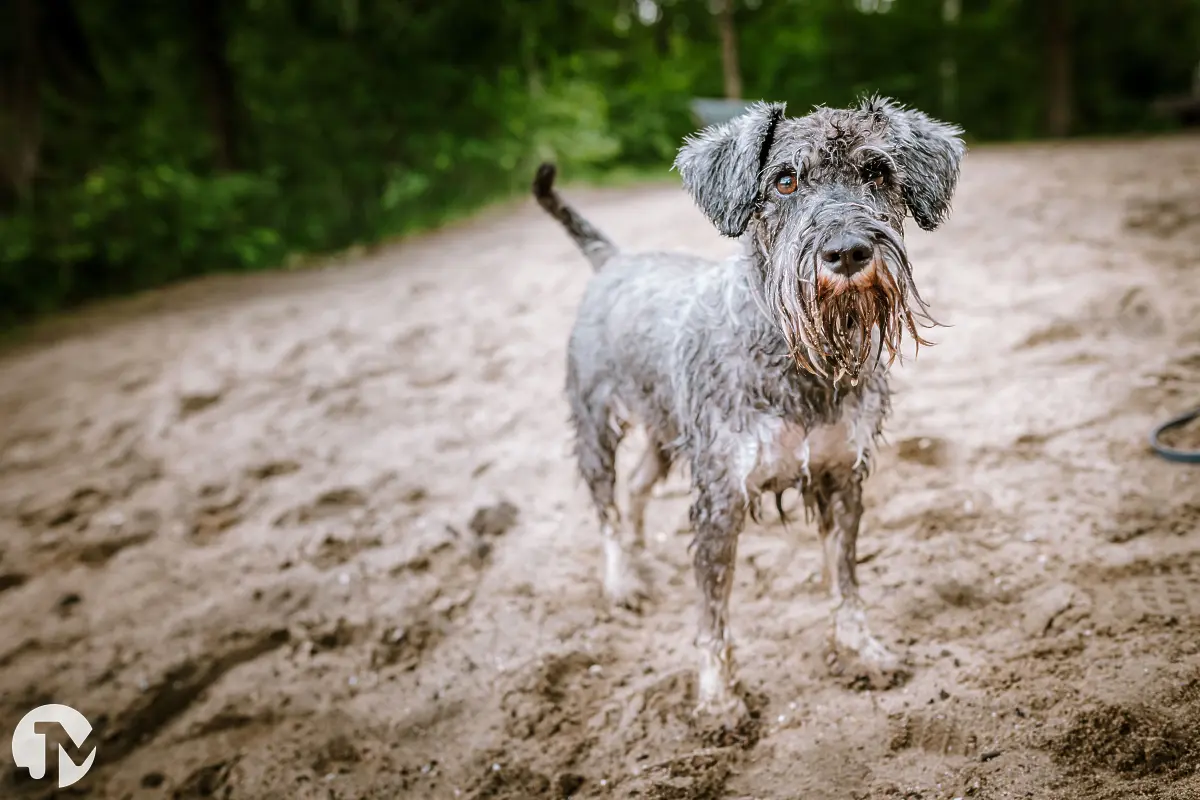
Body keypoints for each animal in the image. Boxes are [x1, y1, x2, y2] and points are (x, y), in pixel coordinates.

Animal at [532, 95, 964, 719]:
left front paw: (862, 651)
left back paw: (638, 554)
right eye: (784, 180)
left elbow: (845, 579)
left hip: (664, 431)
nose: (847, 251)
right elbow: (713, 611)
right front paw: (717, 699)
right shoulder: (720, 498)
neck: (799, 357)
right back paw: (621, 581)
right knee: (607, 507)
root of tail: (612, 261)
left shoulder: (842, 479)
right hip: (596, 428)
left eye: (879, 173)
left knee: (636, 488)